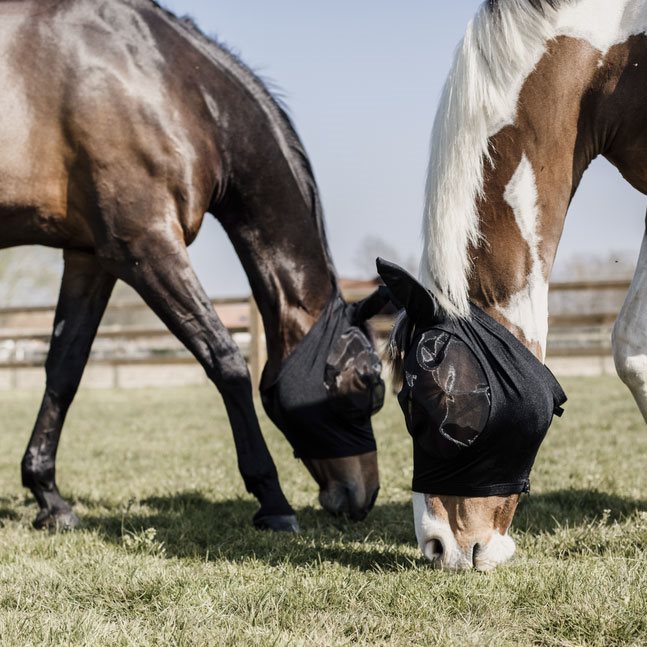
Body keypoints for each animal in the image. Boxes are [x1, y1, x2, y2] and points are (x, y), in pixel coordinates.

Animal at [3, 0, 384, 532]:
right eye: (366, 380)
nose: (364, 497)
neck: (163, 80)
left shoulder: (90, 257)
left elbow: (64, 369)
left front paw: (49, 497)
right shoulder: (145, 244)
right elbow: (226, 361)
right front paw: (273, 501)